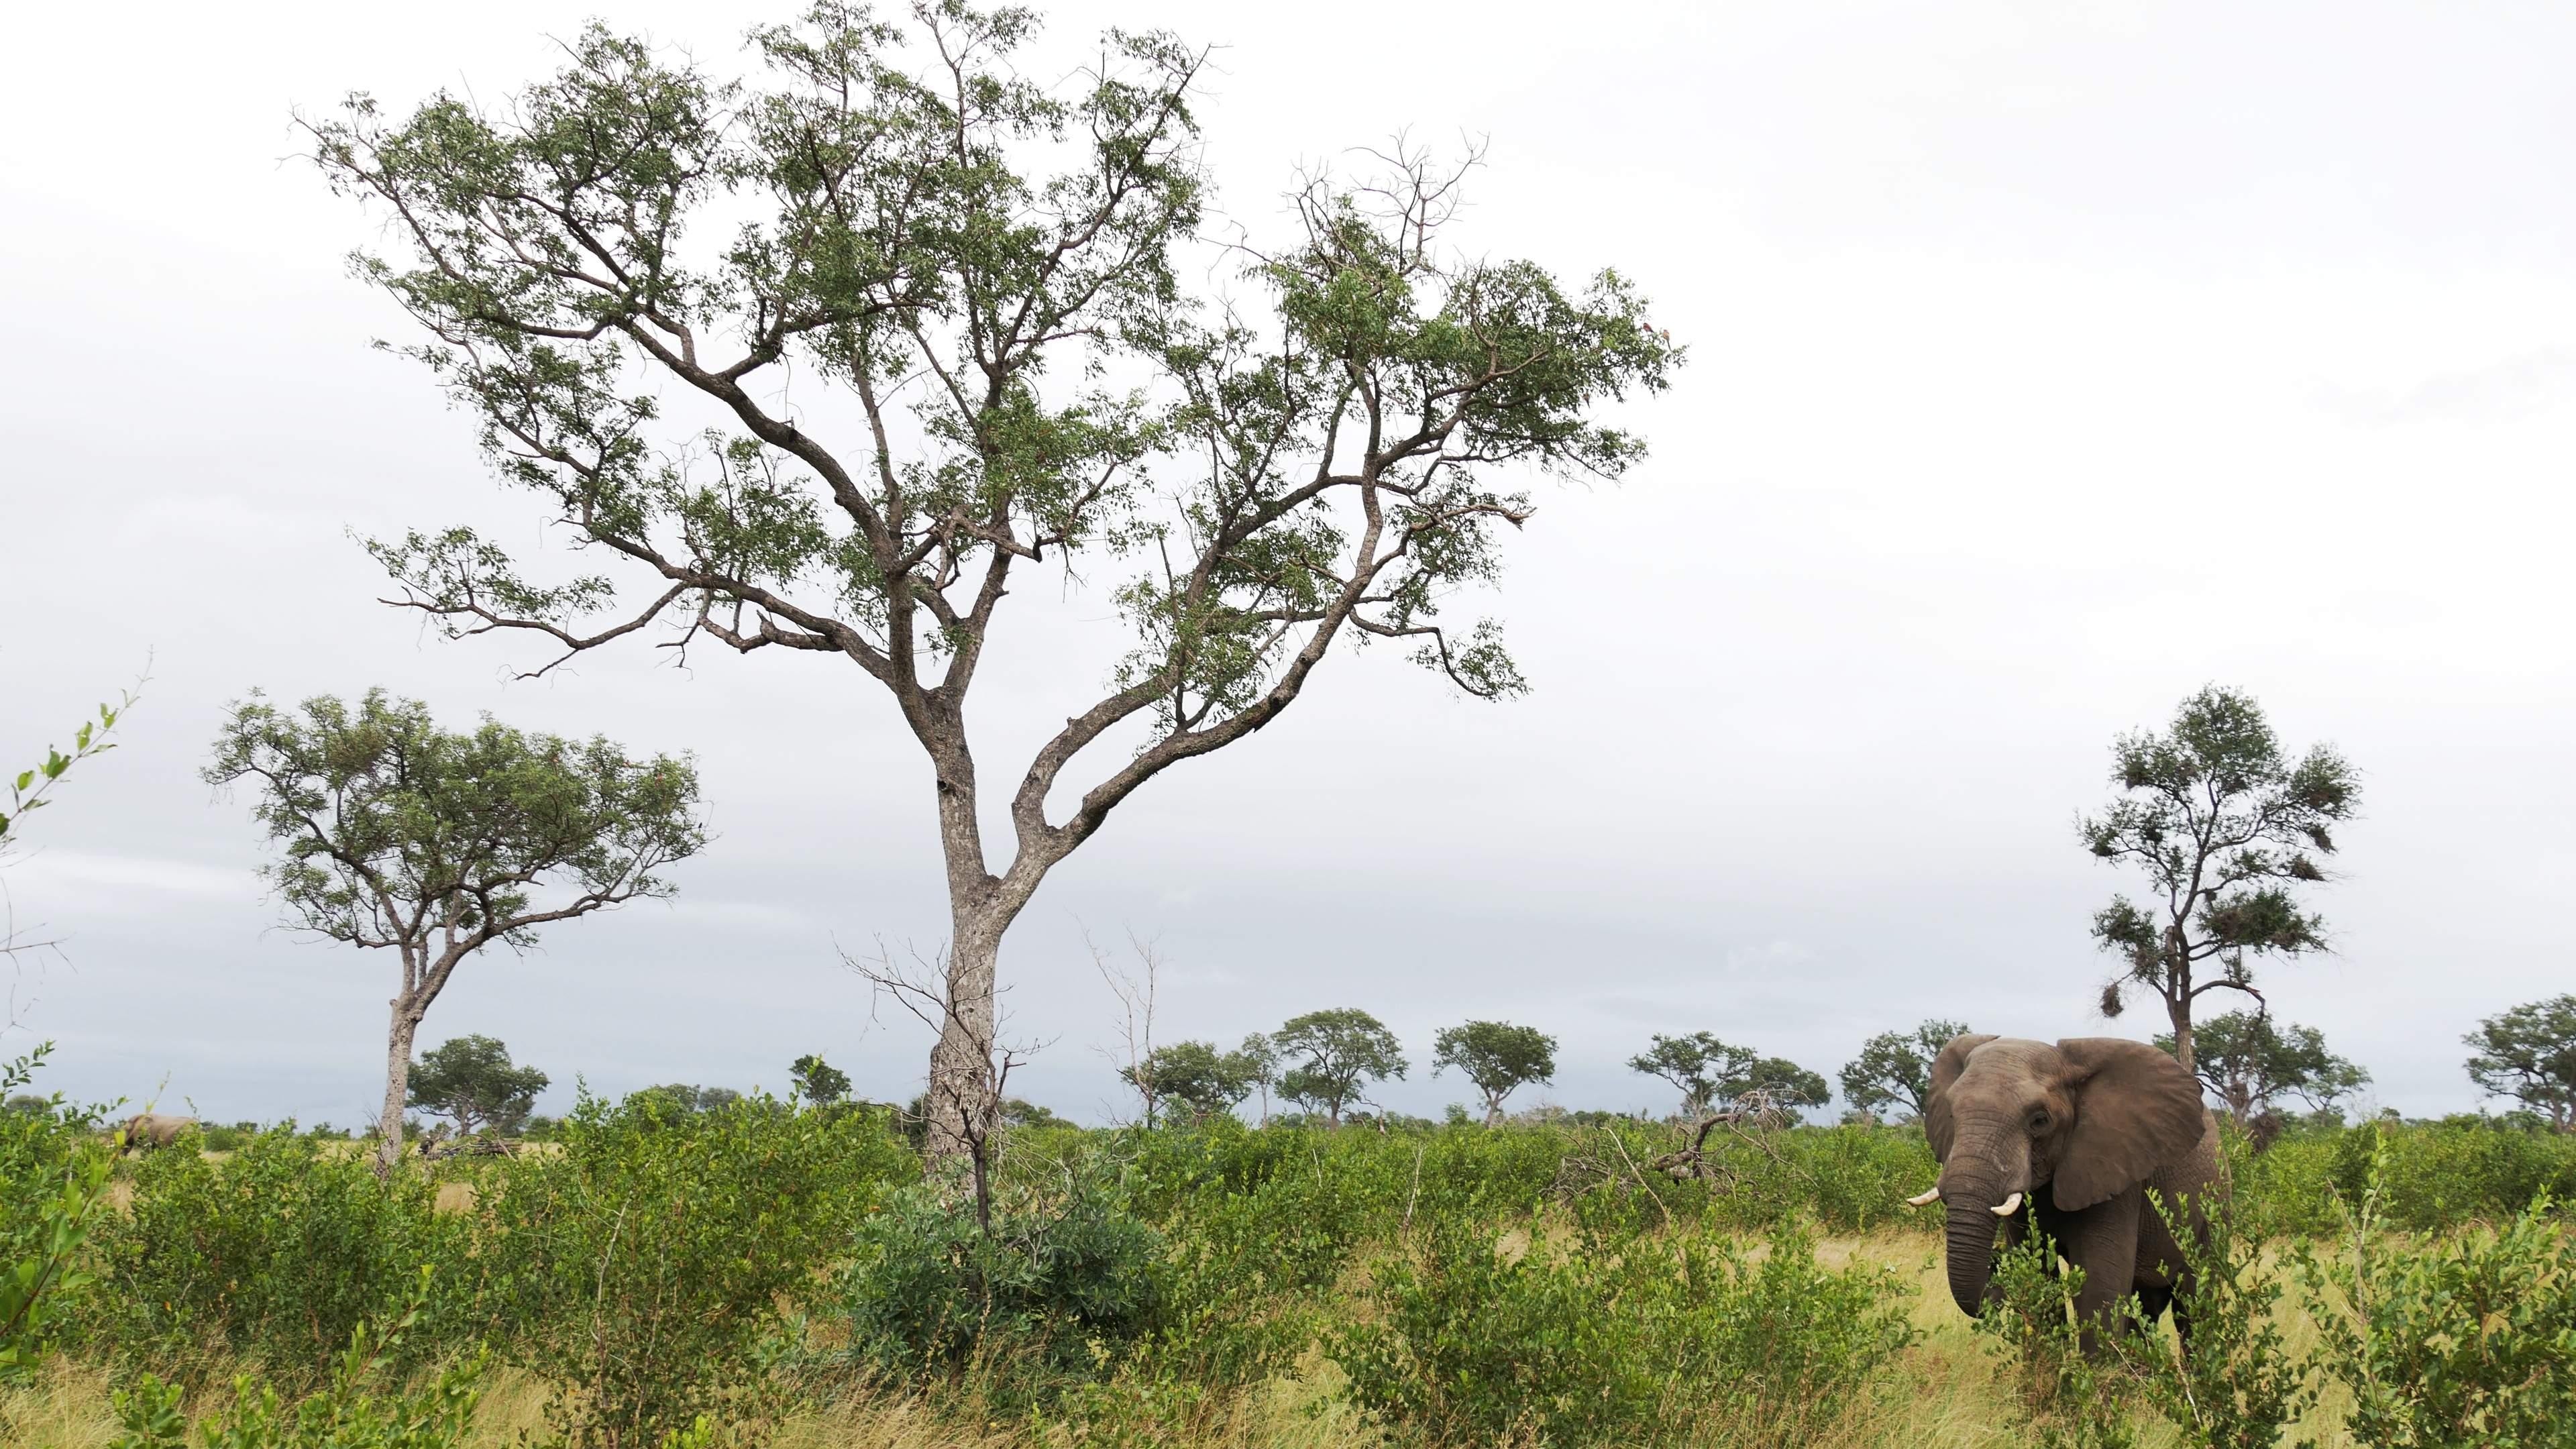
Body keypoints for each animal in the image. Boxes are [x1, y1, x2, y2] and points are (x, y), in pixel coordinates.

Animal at [1906, 1026, 2225, 1340]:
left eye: (2040, 1120)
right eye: (1951, 1112)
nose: (1996, 1262)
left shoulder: (2114, 1174)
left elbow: (2099, 1289)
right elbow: (2037, 1272)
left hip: (2215, 1208)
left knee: (2194, 1304)